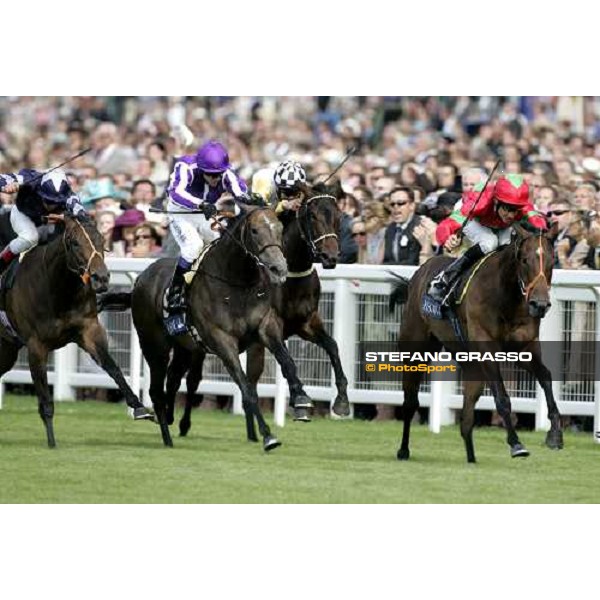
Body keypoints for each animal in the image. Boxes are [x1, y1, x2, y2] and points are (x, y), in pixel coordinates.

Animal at [0, 214, 150, 446]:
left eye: (102, 241)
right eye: (75, 243)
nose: (101, 277)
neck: (57, 289)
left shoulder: (89, 331)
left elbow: (113, 368)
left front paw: (139, 407)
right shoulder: (36, 345)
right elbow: (45, 398)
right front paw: (52, 442)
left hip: (7, 350)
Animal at [390, 225, 564, 464]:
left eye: (551, 261)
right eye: (525, 260)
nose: (539, 304)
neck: (506, 297)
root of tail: (417, 274)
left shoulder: (525, 347)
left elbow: (546, 377)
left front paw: (555, 434)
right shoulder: (486, 347)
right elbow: (501, 396)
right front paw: (516, 444)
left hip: (469, 362)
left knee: (467, 413)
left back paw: (471, 457)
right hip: (415, 349)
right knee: (410, 402)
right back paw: (403, 450)